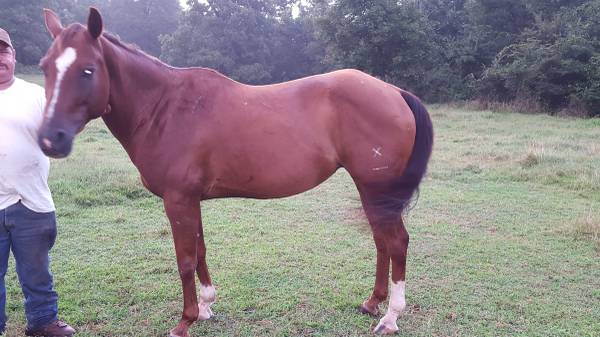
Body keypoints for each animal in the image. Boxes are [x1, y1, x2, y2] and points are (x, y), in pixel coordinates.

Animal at [37, 7, 432, 336]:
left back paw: (390, 317)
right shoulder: (190, 200)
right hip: (371, 190)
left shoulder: (177, 200)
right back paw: (372, 303)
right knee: (382, 241)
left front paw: (185, 321)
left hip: (376, 187)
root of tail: (393, 92)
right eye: (45, 67)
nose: (50, 138)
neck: (165, 109)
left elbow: (184, 259)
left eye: (88, 70)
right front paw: (206, 307)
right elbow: (200, 250)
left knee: (396, 242)